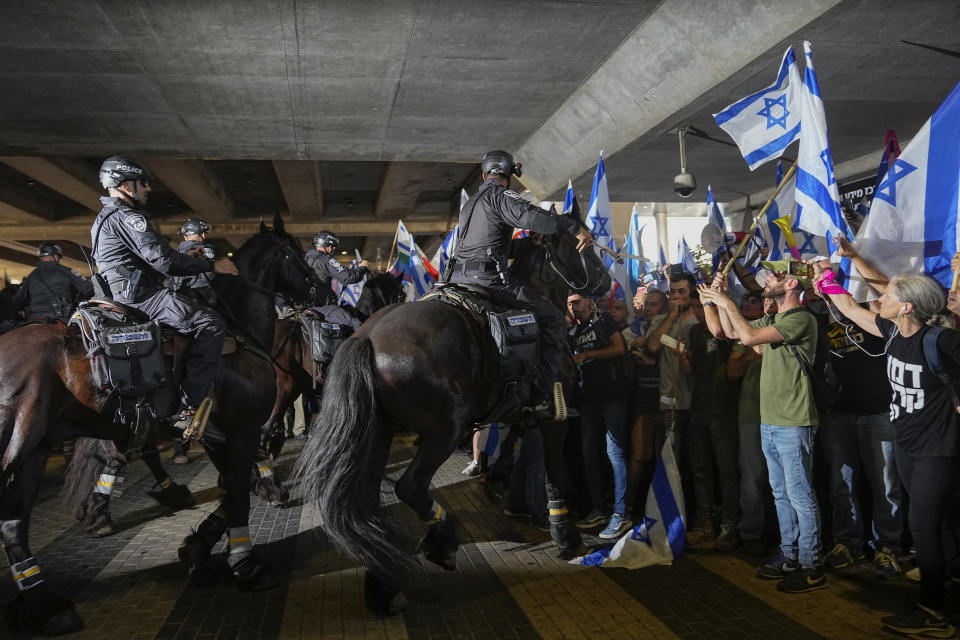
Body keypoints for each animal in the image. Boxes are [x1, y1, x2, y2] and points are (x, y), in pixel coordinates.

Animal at [0, 215, 310, 636]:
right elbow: (238, 492)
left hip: (35, 450)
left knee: (14, 522)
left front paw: (198, 545)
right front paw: (245, 561)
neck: (238, 330)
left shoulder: (217, 435)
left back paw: (46, 604)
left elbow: (233, 489)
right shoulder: (241, 430)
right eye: (297, 252)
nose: (318, 287)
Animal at [294, 229, 608, 616]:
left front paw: (503, 487)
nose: (604, 280)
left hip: (379, 430)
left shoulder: (518, 413)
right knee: (409, 487)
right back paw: (440, 543)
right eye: (584, 245)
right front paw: (566, 535)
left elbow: (511, 449)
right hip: (443, 432)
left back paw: (384, 581)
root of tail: (367, 337)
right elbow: (556, 473)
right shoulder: (555, 416)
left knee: (365, 498)